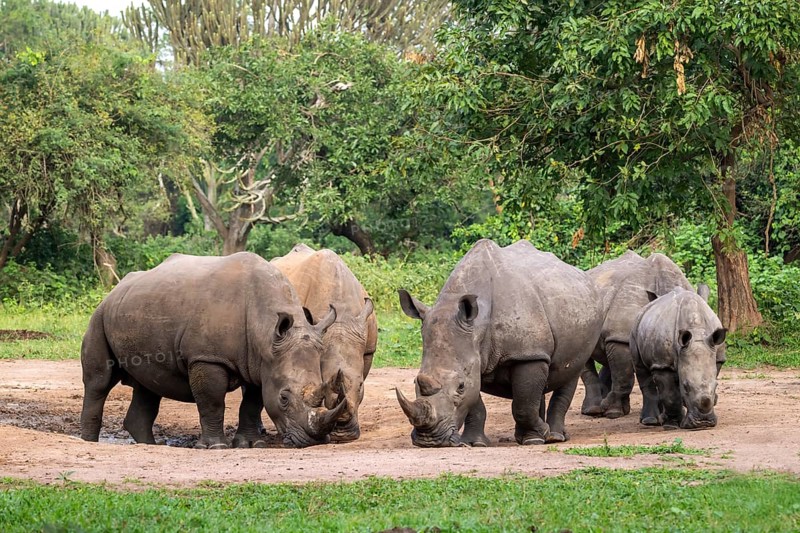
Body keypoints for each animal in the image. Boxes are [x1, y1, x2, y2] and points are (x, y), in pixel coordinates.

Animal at [80, 252, 347, 449]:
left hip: (137, 310)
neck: (264, 331)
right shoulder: (207, 358)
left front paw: (251, 444)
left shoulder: (264, 363)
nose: (313, 441)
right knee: (99, 382)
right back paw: (90, 442)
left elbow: (252, 403)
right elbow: (212, 401)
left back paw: (150, 446)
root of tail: (115, 289)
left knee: (149, 385)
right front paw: (215, 446)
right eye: (284, 398)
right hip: (99, 315)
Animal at [396, 239, 603, 447]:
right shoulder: (474, 358)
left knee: (568, 373)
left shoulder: (526, 353)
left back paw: (553, 437)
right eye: (415, 381)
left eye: (460, 386)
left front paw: (537, 437)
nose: (429, 440)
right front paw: (474, 443)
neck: (478, 328)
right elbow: (477, 404)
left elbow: (523, 405)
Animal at [631, 285, 727, 429]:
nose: (703, 423)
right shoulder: (663, 364)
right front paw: (671, 426)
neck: (696, 332)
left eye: (717, 386)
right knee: (641, 368)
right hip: (635, 329)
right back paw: (651, 421)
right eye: (686, 386)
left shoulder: (716, 359)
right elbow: (670, 395)